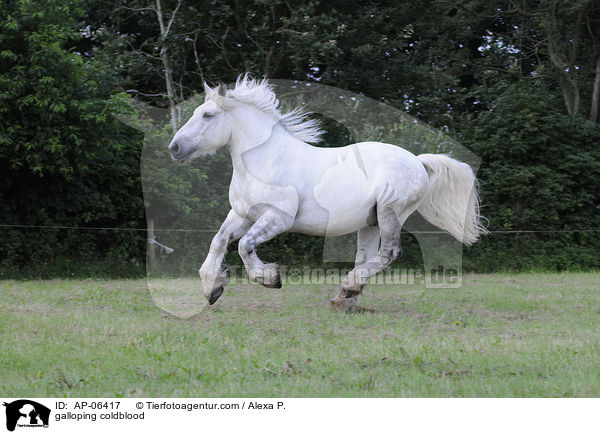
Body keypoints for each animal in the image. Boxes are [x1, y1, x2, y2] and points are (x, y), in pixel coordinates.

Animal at [169, 76, 488, 310]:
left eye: (207, 115)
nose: (174, 148)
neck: (264, 160)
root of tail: (418, 161)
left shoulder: (278, 218)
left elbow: (244, 246)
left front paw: (270, 278)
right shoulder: (242, 213)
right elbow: (219, 241)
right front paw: (212, 288)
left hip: (390, 212)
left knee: (390, 253)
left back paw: (348, 289)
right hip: (370, 222)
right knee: (367, 257)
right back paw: (346, 298)